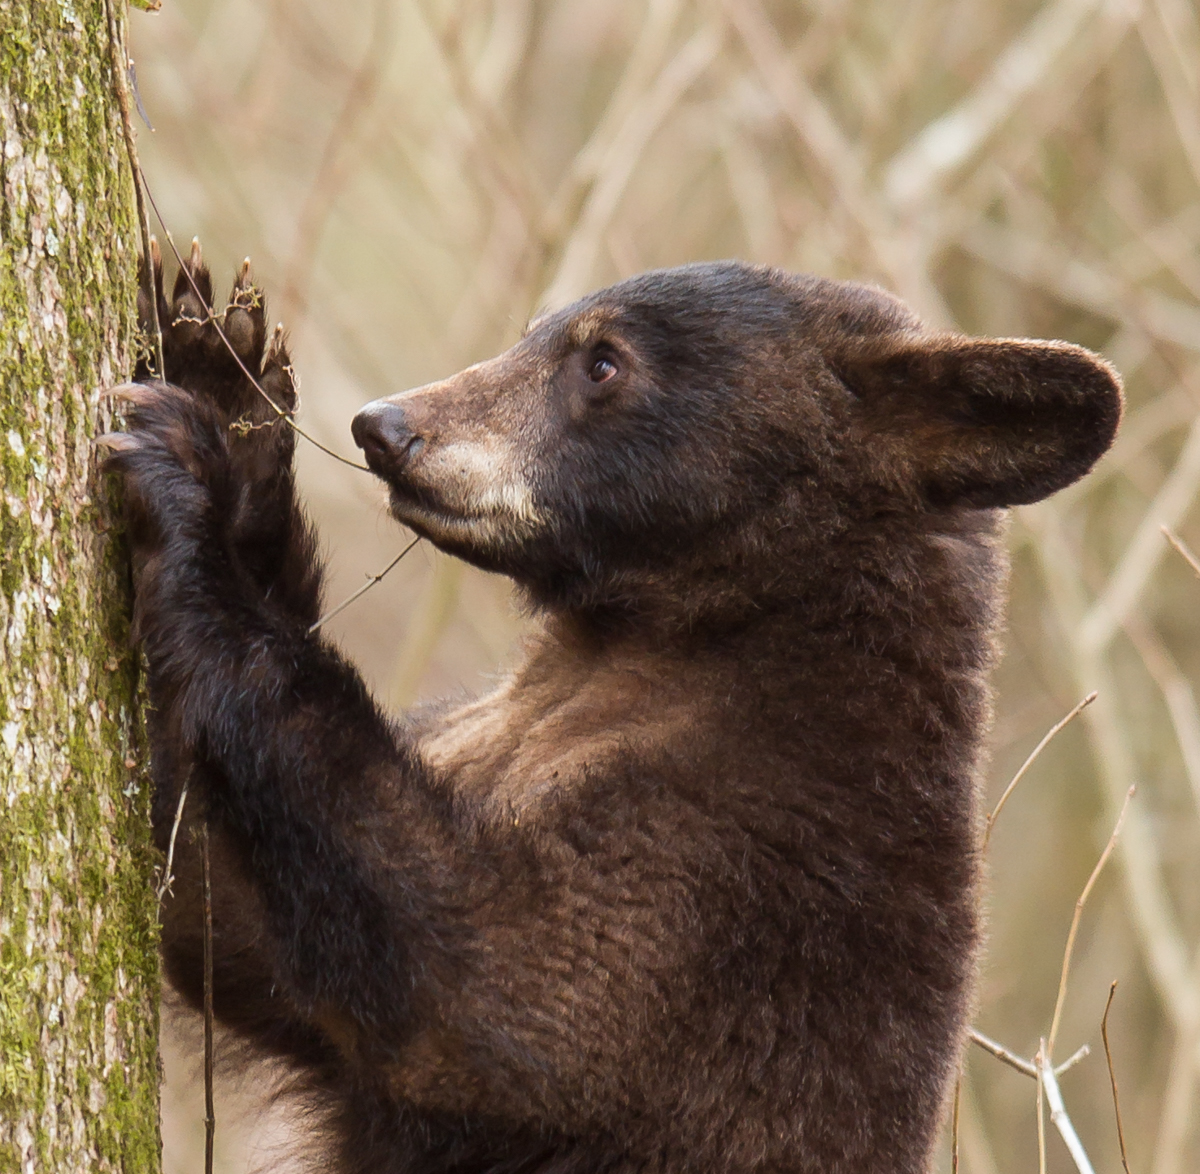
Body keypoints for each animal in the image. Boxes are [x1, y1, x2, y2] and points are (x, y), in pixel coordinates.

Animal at [102, 249, 1122, 1174]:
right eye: (536, 333)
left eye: (601, 361)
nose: (385, 426)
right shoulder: (494, 732)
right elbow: (221, 921)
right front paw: (216, 371)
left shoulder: (744, 861)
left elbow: (487, 986)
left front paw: (188, 484)